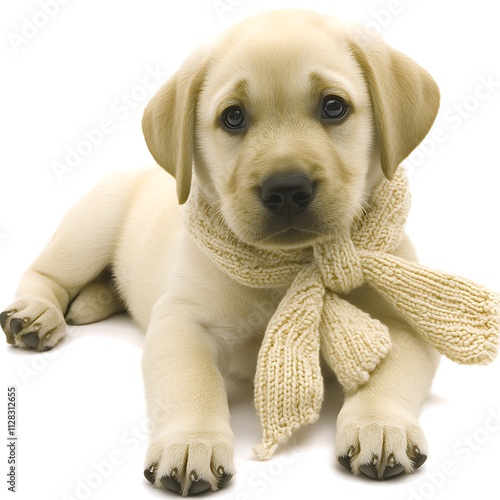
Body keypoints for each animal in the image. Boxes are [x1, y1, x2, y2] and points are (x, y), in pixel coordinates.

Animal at [0, 8, 442, 496]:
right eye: (233, 117)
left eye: (333, 107)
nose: (286, 189)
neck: (292, 269)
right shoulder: (182, 320)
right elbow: (195, 381)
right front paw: (192, 442)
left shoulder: (403, 322)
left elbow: (385, 376)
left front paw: (379, 426)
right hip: (90, 227)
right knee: (45, 274)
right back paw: (37, 314)